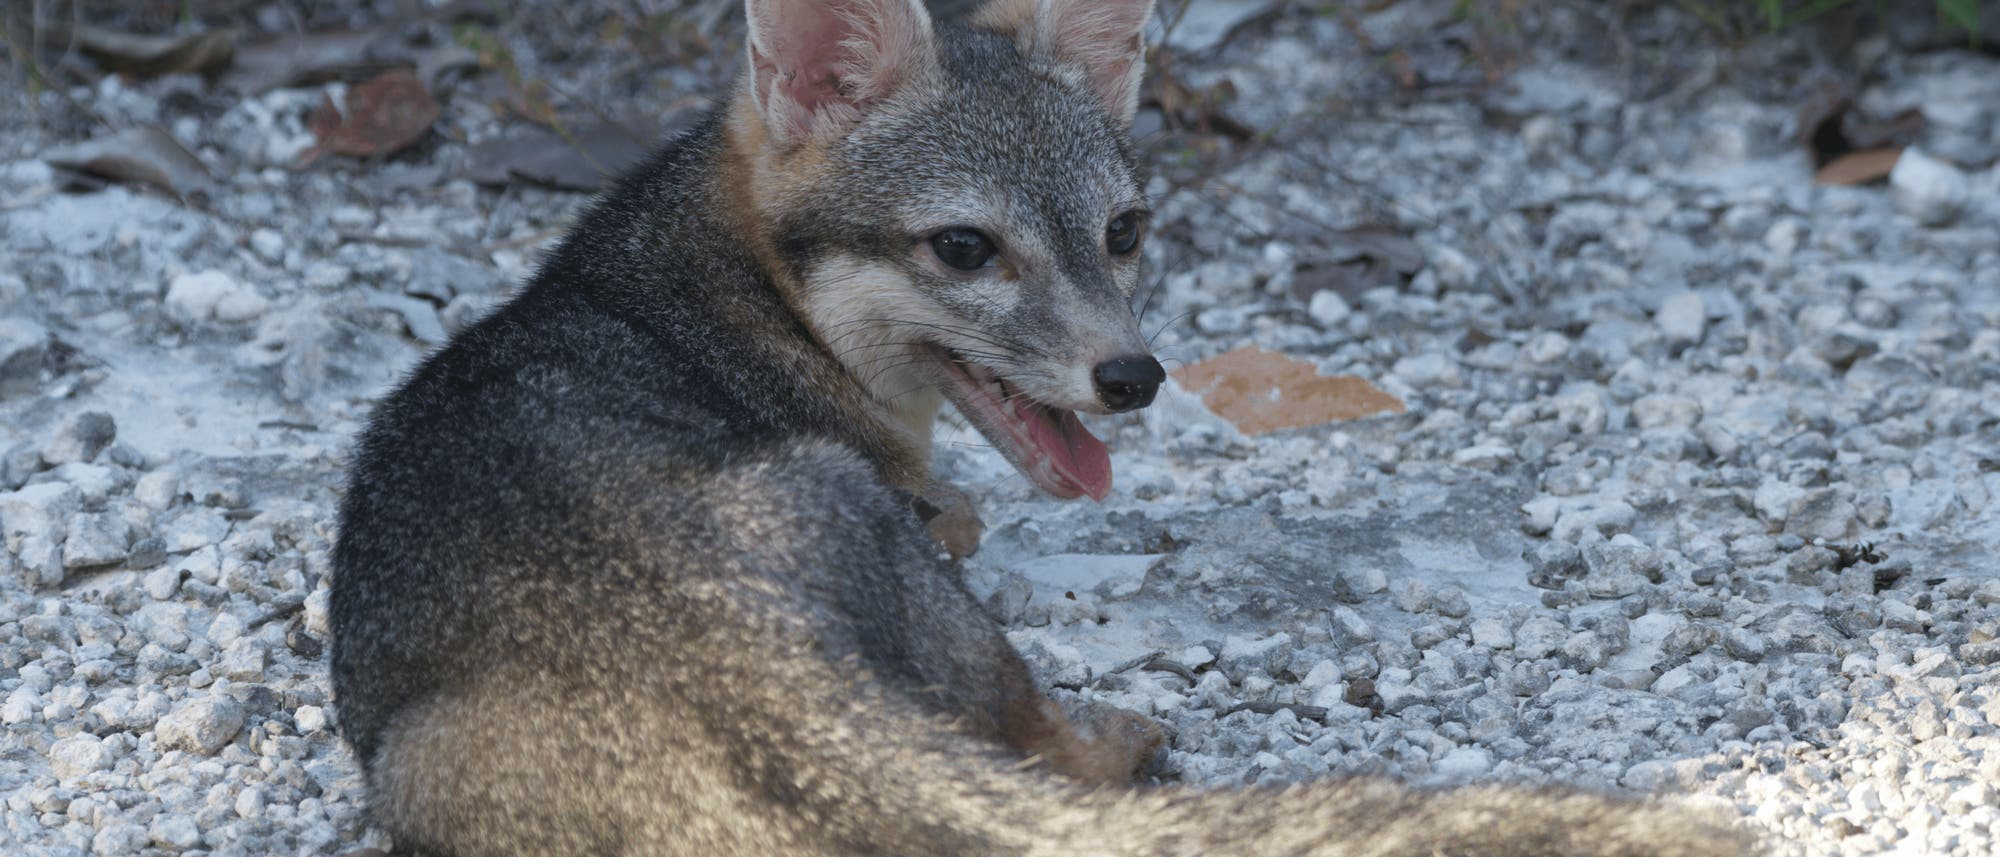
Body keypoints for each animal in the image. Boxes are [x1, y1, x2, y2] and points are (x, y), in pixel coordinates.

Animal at [328, 0, 1756, 854]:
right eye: (964, 248)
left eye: (1123, 233)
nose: (1133, 376)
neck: (712, 293)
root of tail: (718, 647)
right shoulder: (926, 517)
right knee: (1043, 741)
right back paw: (1121, 737)